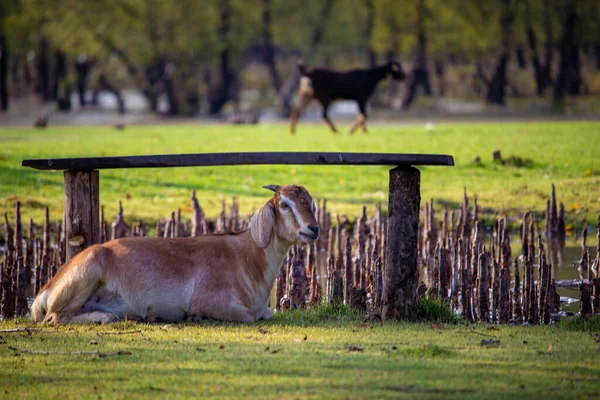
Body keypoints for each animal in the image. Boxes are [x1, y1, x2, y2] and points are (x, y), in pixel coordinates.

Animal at [29, 185, 318, 324]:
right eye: (284, 204)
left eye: (312, 204)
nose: (313, 229)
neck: (247, 258)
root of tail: (48, 286)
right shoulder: (212, 300)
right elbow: (252, 315)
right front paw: (195, 317)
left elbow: (267, 313)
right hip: (85, 276)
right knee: (54, 318)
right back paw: (106, 318)